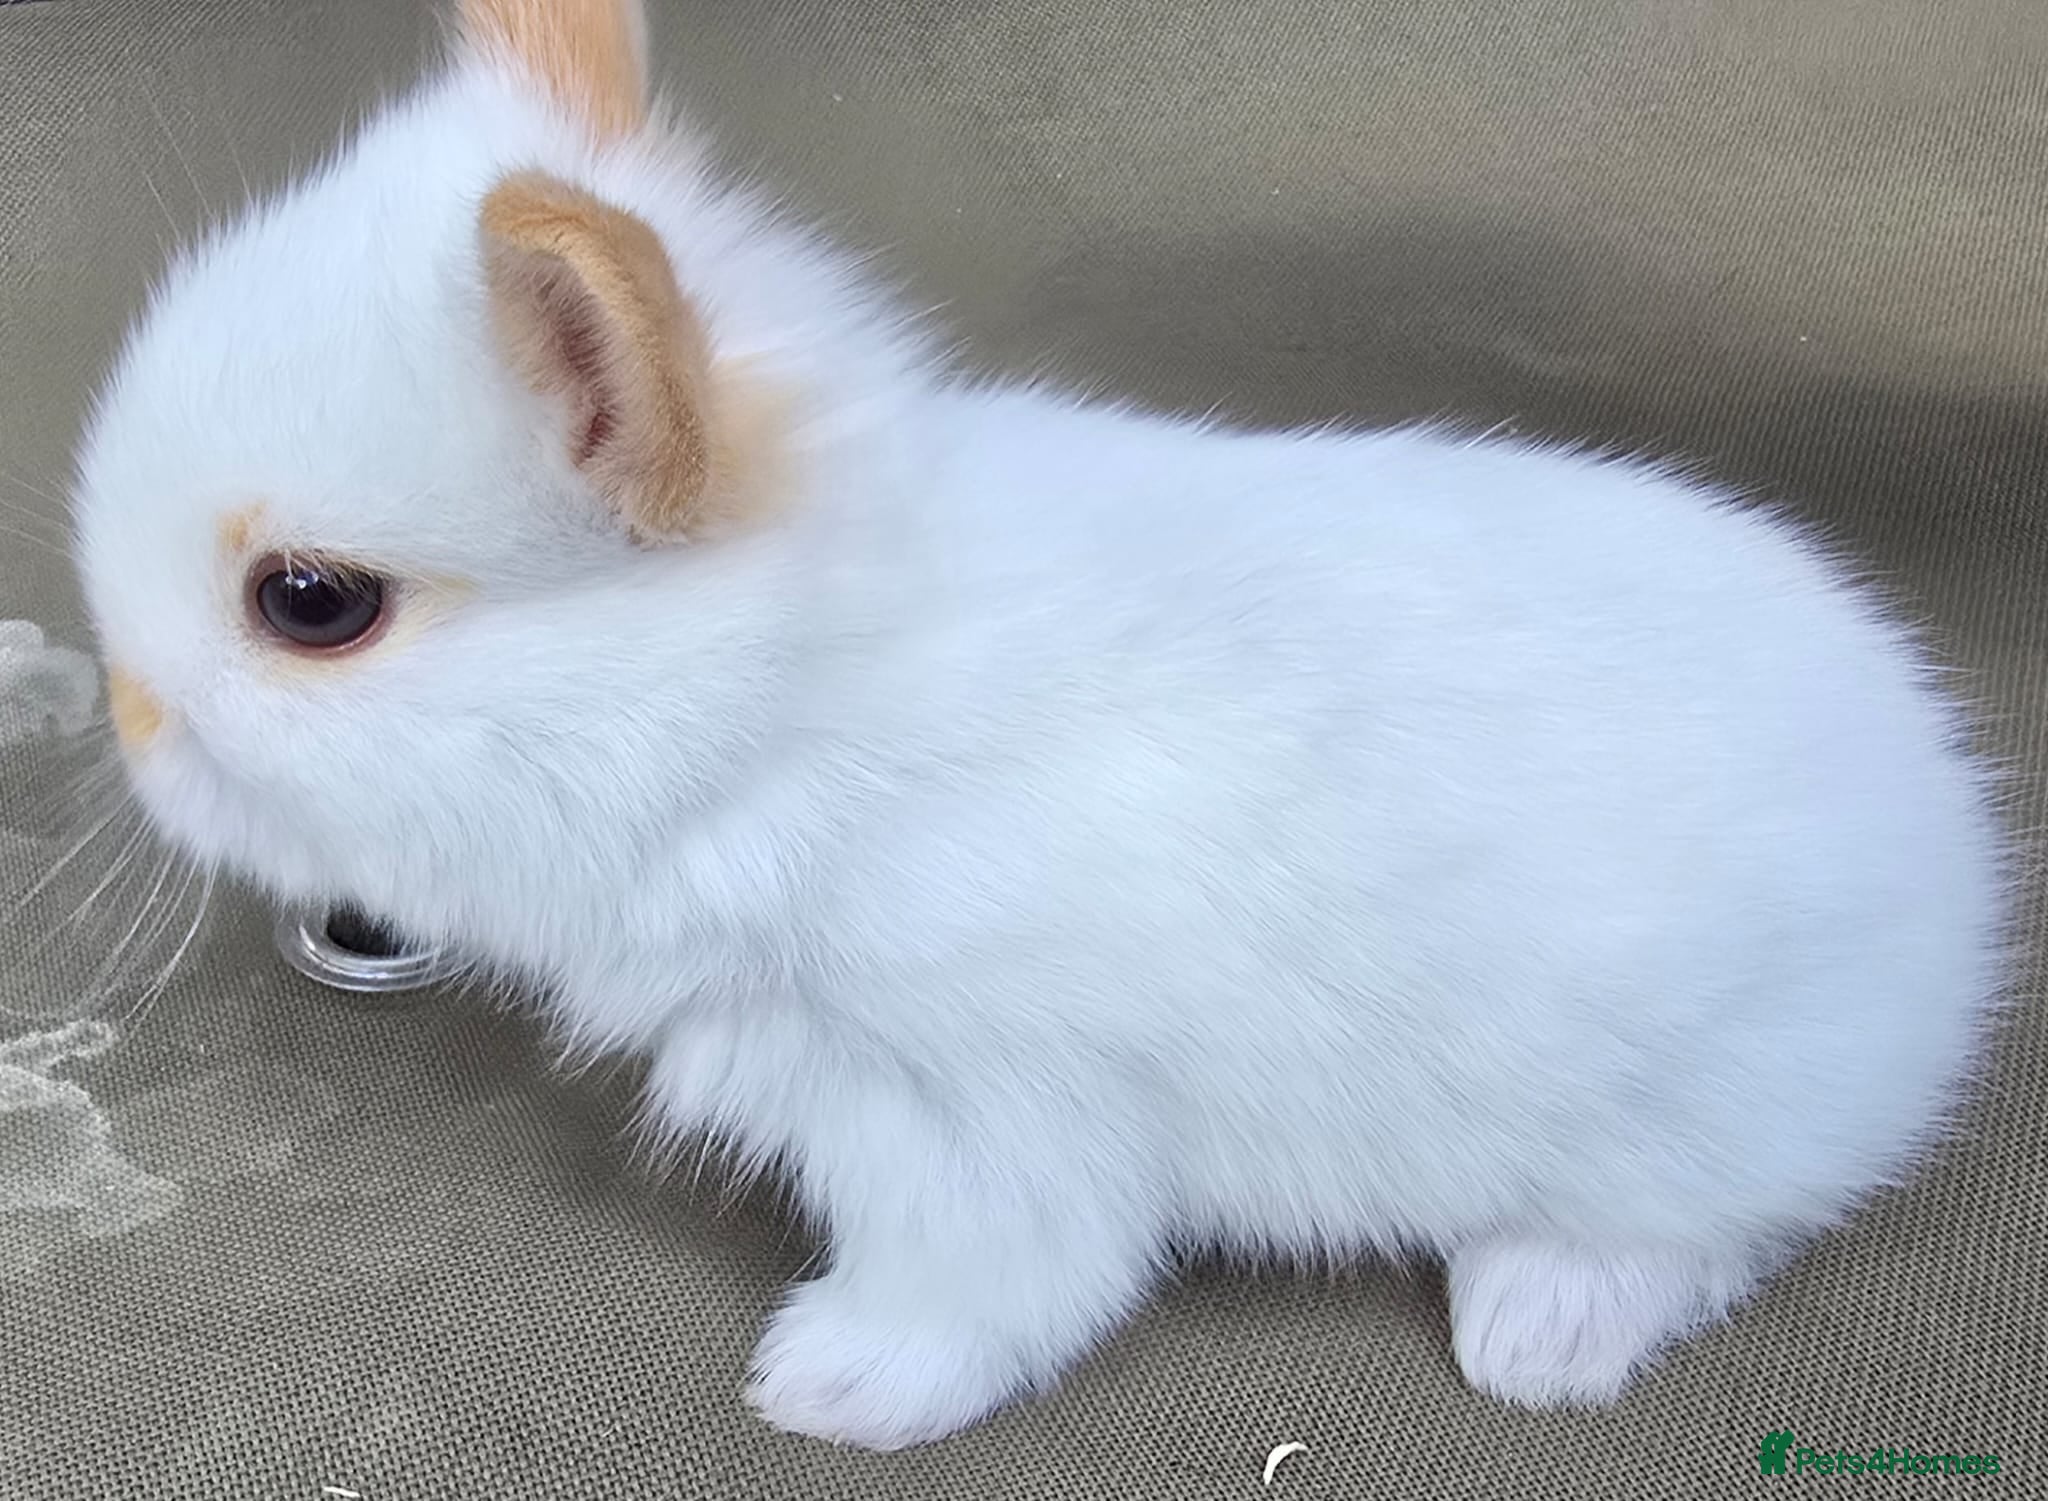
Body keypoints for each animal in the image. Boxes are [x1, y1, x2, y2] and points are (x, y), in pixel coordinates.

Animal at [67, 0, 2014, 1451]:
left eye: (313, 604)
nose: (128, 713)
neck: (779, 713)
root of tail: (1953, 840)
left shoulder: (974, 1115)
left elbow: (996, 1287)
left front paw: (824, 1388)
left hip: (1693, 1120)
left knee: (1717, 1227)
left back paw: (1536, 1332)